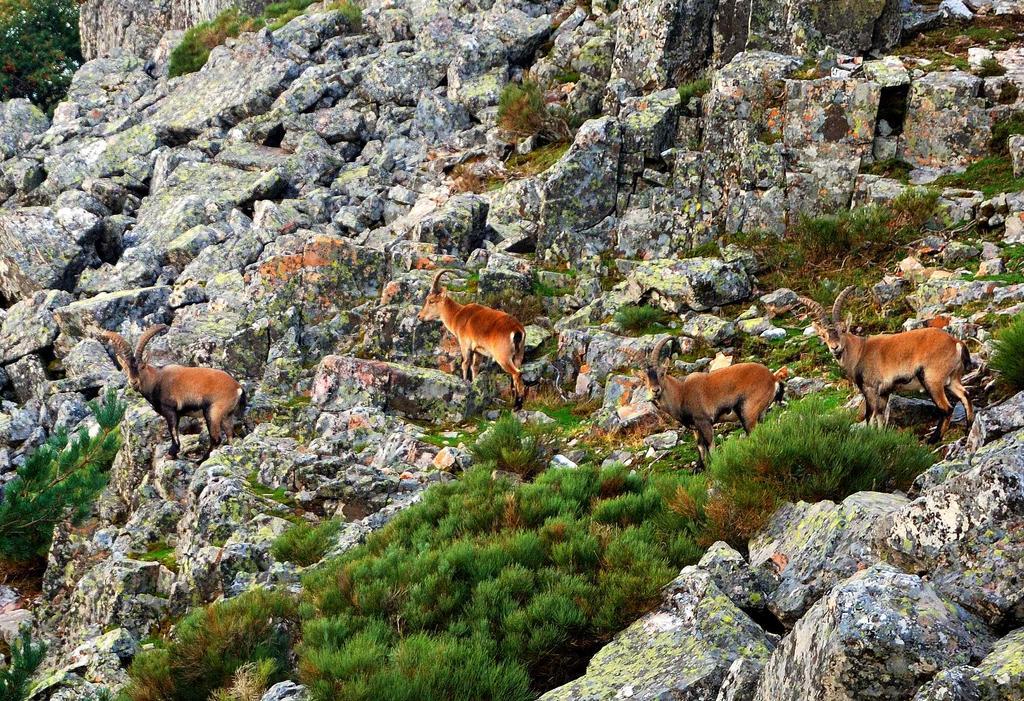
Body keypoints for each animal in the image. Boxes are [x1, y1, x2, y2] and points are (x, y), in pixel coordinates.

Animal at [98, 325, 246, 462]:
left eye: (142, 367)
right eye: (126, 368)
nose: (133, 382)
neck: (157, 379)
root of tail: (237, 387)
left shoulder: (170, 411)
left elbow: (173, 431)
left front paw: (171, 453)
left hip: (213, 412)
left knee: (216, 438)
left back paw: (200, 460)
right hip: (226, 415)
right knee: (229, 434)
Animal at [415, 268, 528, 409]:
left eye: (431, 301)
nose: (419, 316)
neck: (457, 315)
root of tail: (517, 330)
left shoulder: (465, 345)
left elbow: (465, 364)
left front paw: (464, 382)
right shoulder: (478, 351)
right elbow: (475, 367)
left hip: (503, 357)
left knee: (516, 373)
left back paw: (517, 405)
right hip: (518, 355)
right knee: (517, 373)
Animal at [643, 335, 786, 470]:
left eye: (662, 373)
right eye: (645, 378)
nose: (655, 390)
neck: (681, 393)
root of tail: (773, 378)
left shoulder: (704, 421)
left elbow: (710, 444)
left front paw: (714, 464)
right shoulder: (696, 427)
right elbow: (700, 446)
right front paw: (700, 467)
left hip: (747, 412)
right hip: (760, 413)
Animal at [794, 286, 970, 442]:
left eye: (843, 330)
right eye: (824, 335)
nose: (835, 347)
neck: (860, 351)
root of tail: (955, 342)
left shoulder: (870, 389)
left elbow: (870, 416)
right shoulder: (884, 392)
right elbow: (880, 416)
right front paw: (881, 436)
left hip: (932, 380)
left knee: (946, 408)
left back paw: (933, 439)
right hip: (952, 379)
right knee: (965, 395)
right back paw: (968, 430)